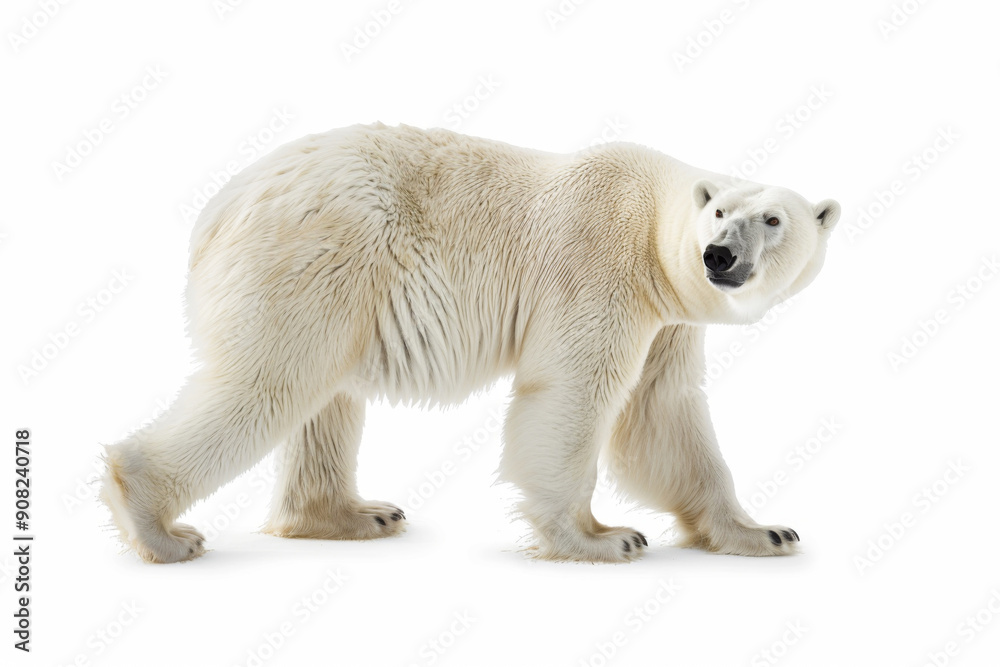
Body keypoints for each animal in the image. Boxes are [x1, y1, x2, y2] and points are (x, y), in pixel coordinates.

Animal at [100, 123, 840, 563]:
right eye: (720, 212)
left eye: (773, 219)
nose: (719, 256)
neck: (650, 227)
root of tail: (219, 208)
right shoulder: (600, 267)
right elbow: (575, 392)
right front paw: (602, 537)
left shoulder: (670, 320)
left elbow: (663, 414)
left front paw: (765, 530)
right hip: (316, 254)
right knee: (268, 383)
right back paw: (160, 526)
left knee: (322, 400)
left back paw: (357, 514)